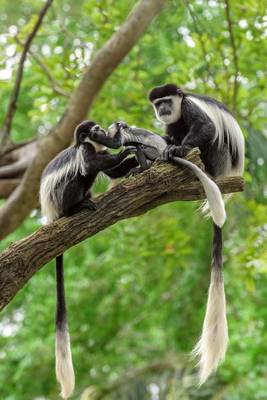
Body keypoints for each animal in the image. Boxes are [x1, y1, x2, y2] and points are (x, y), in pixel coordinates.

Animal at [39, 120, 136, 398]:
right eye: (95, 129)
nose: (102, 130)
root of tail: (52, 215)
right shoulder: (85, 150)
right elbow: (90, 165)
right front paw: (124, 153)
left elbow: (108, 169)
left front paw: (131, 161)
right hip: (62, 197)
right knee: (79, 176)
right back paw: (77, 207)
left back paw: (88, 198)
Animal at [148, 84, 246, 384]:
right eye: (158, 103)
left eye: (167, 101)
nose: (162, 110)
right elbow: (169, 131)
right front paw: (167, 144)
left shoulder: (190, 108)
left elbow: (206, 127)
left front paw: (178, 148)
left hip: (220, 157)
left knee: (211, 138)